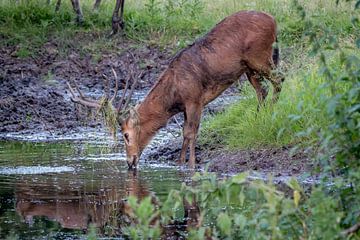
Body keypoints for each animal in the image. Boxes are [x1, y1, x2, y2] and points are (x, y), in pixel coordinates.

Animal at [67, 10, 286, 169]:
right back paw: (260, 117)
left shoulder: (195, 99)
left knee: (279, 79)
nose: (130, 162)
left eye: (126, 135)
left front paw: (190, 165)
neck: (173, 96)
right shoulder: (186, 106)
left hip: (260, 57)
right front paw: (180, 163)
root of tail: (274, 21)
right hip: (249, 68)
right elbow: (184, 132)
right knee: (262, 91)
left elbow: (191, 132)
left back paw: (271, 113)